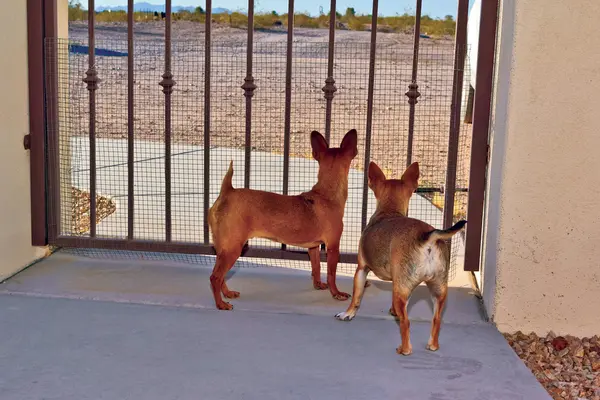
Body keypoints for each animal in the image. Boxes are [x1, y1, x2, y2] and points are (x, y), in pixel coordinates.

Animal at [207, 130, 356, 310]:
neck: (325, 195)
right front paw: (336, 294)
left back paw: (227, 294)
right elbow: (331, 274)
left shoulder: (313, 248)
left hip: (223, 248)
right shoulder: (333, 247)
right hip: (232, 249)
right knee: (215, 277)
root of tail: (227, 192)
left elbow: (316, 267)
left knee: (219, 275)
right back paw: (221, 304)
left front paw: (318, 284)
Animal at [336, 161, 466, 354]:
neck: (389, 212)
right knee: (436, 320)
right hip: (438, 290)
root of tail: (427, 237)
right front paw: (393, 310)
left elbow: (356, 297)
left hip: (405, 289)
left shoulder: (361, 269)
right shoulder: (396, 281)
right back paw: (433, 345)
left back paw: (404, 349)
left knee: (406, 322)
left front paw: (348, 313)